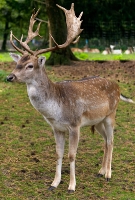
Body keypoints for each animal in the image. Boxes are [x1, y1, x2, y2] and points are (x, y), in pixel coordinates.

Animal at [6, 3, 134, 194]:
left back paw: (108, 175)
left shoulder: (75, 125)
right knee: (105, 141)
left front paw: (71, 186)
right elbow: (58, 153)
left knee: (111, 141)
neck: (56, 109)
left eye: (29, 65)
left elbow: (71, 155)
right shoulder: (56, 128)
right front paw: (54, 183)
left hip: (111, 114)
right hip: (98, 120)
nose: (9, 77)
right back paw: (100, 171)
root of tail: (118, 87)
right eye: (17, 63)